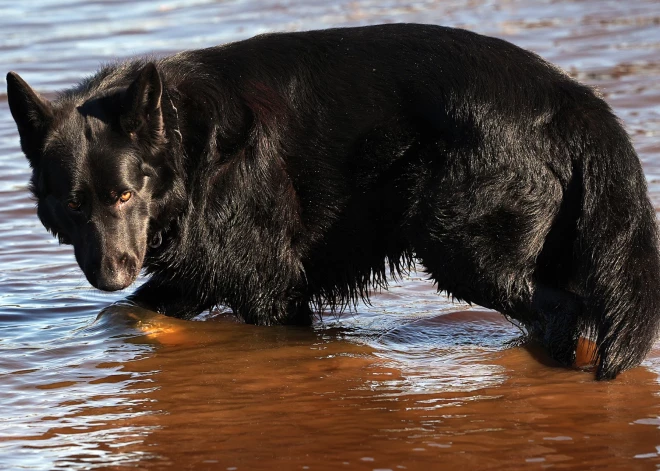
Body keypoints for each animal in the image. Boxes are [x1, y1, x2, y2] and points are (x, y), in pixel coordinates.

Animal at [6, 24, 660, 380]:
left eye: (124, 194)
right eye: (74, 205)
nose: (110, 274)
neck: (192, 149)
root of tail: (571, 97)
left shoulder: (269, 286)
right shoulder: (198, 275)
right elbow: (136, 312)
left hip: (463, 248)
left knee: (561, 310)